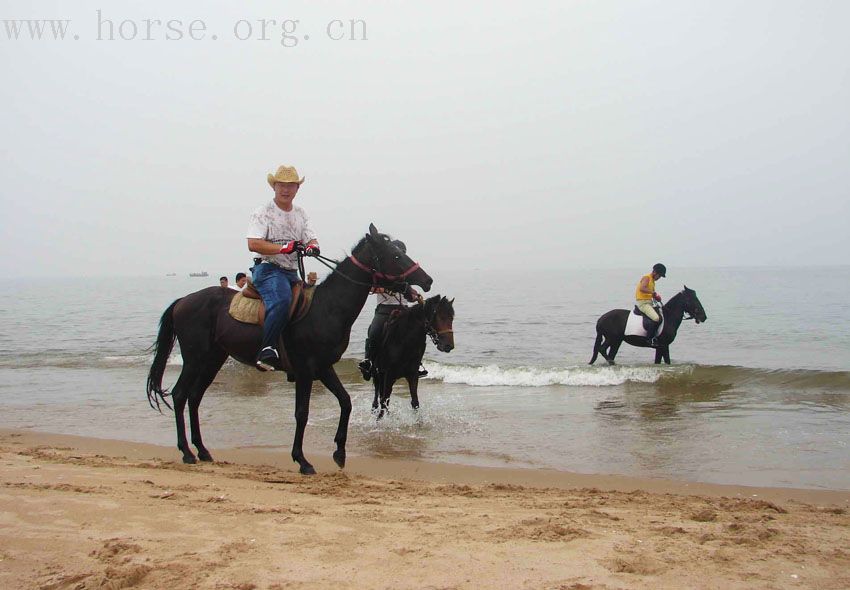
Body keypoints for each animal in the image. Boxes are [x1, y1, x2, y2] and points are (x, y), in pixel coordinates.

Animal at [145, 223, 430, 476]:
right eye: (396, 255)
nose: (427, 280)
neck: (327, 308)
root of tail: (183, 301)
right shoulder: (305, 370)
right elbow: (301, 413)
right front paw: (302, 460)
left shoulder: (323, 367)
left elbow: (345, 402)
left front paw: (339, 452)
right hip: (195, 359)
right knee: (180, 395)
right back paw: (186, 452)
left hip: (213, 359)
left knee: (194, 397)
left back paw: (202, 450)